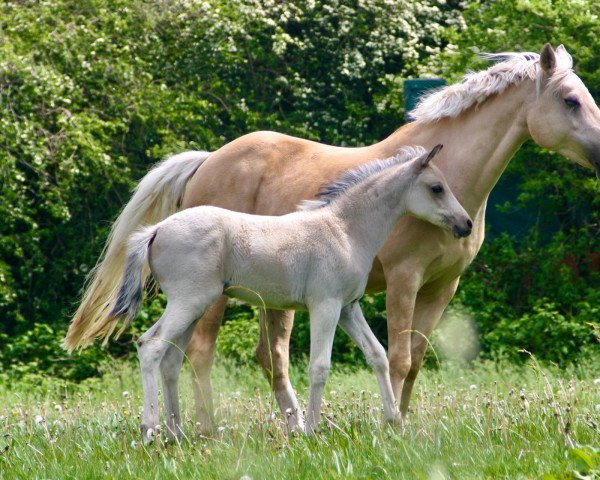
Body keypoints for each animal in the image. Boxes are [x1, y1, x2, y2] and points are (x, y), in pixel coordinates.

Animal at [110, 143, 472, 438]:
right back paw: (151, 429)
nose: (466, 224)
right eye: (437, 188)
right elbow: (319, 366)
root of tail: (156, 230)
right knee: (151, 346)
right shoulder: (325, 305)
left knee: (170, 357)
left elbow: (377, 355)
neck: (344, 229)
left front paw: (394, 421)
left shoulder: (348, 308)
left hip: (193, 307)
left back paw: (177, 433)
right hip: (188, 302)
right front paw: (311, 429)